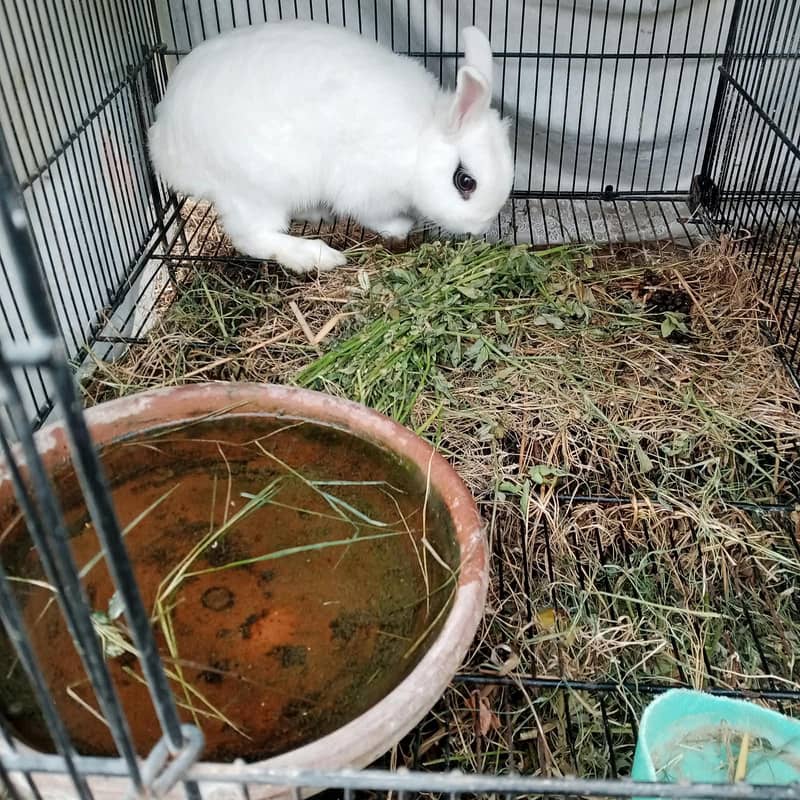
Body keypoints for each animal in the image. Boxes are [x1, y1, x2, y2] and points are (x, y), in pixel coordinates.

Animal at [148, 20, 514, 273]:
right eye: (465, 182)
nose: (479, 227)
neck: (419, 142)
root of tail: (164, 143)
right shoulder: (365, 187)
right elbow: (375, 216)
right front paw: (399, 227)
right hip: (255, 187)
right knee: (252, 236)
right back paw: (315, 256)